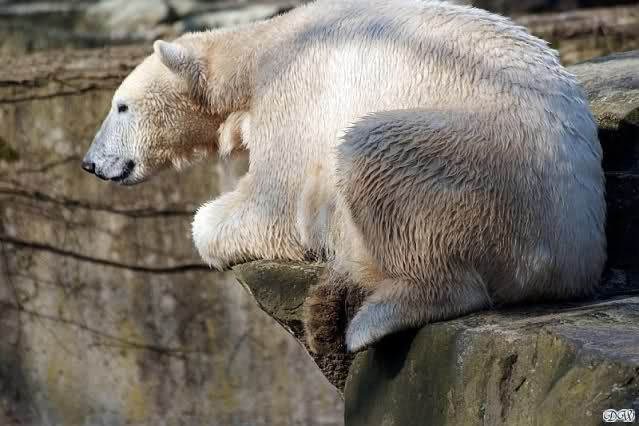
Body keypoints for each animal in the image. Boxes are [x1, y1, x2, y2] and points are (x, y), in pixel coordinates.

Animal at [82, 0, 606, 354]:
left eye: (120, 107)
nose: (90, 163)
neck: (262, 50)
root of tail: (574, 259)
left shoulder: (293, 95)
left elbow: (274, 207)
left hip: (483, 164)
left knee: (373, 150)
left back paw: (372, 315)